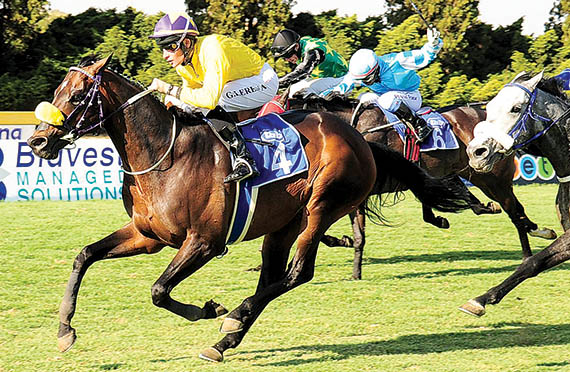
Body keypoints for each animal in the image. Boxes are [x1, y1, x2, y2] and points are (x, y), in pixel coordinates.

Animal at [25, 56, 470, 364]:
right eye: (59, 90)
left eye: (77, 95)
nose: (37, 141)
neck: (163, 156)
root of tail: (360, 138)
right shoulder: (149, 236)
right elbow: (84, 256)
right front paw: (65, 331)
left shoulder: (204, 242)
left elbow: (158, 290)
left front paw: (210, 308)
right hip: (284, 223)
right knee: (274, 276)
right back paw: (227, 340)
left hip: (321, 206)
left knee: (297, 273)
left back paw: (233, 317)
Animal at [288, 96, 556, 280]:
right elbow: (352, 235)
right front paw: (353, 265)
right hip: (471, 173)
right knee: (509, 209)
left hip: (494, 179)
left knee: (515, 212)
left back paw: (530, 247)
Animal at [460, 71, 568, 316]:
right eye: (489, 107)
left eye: (516, 108)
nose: (475, 152)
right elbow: (534, 263)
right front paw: (480, 299)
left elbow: (534, 260)